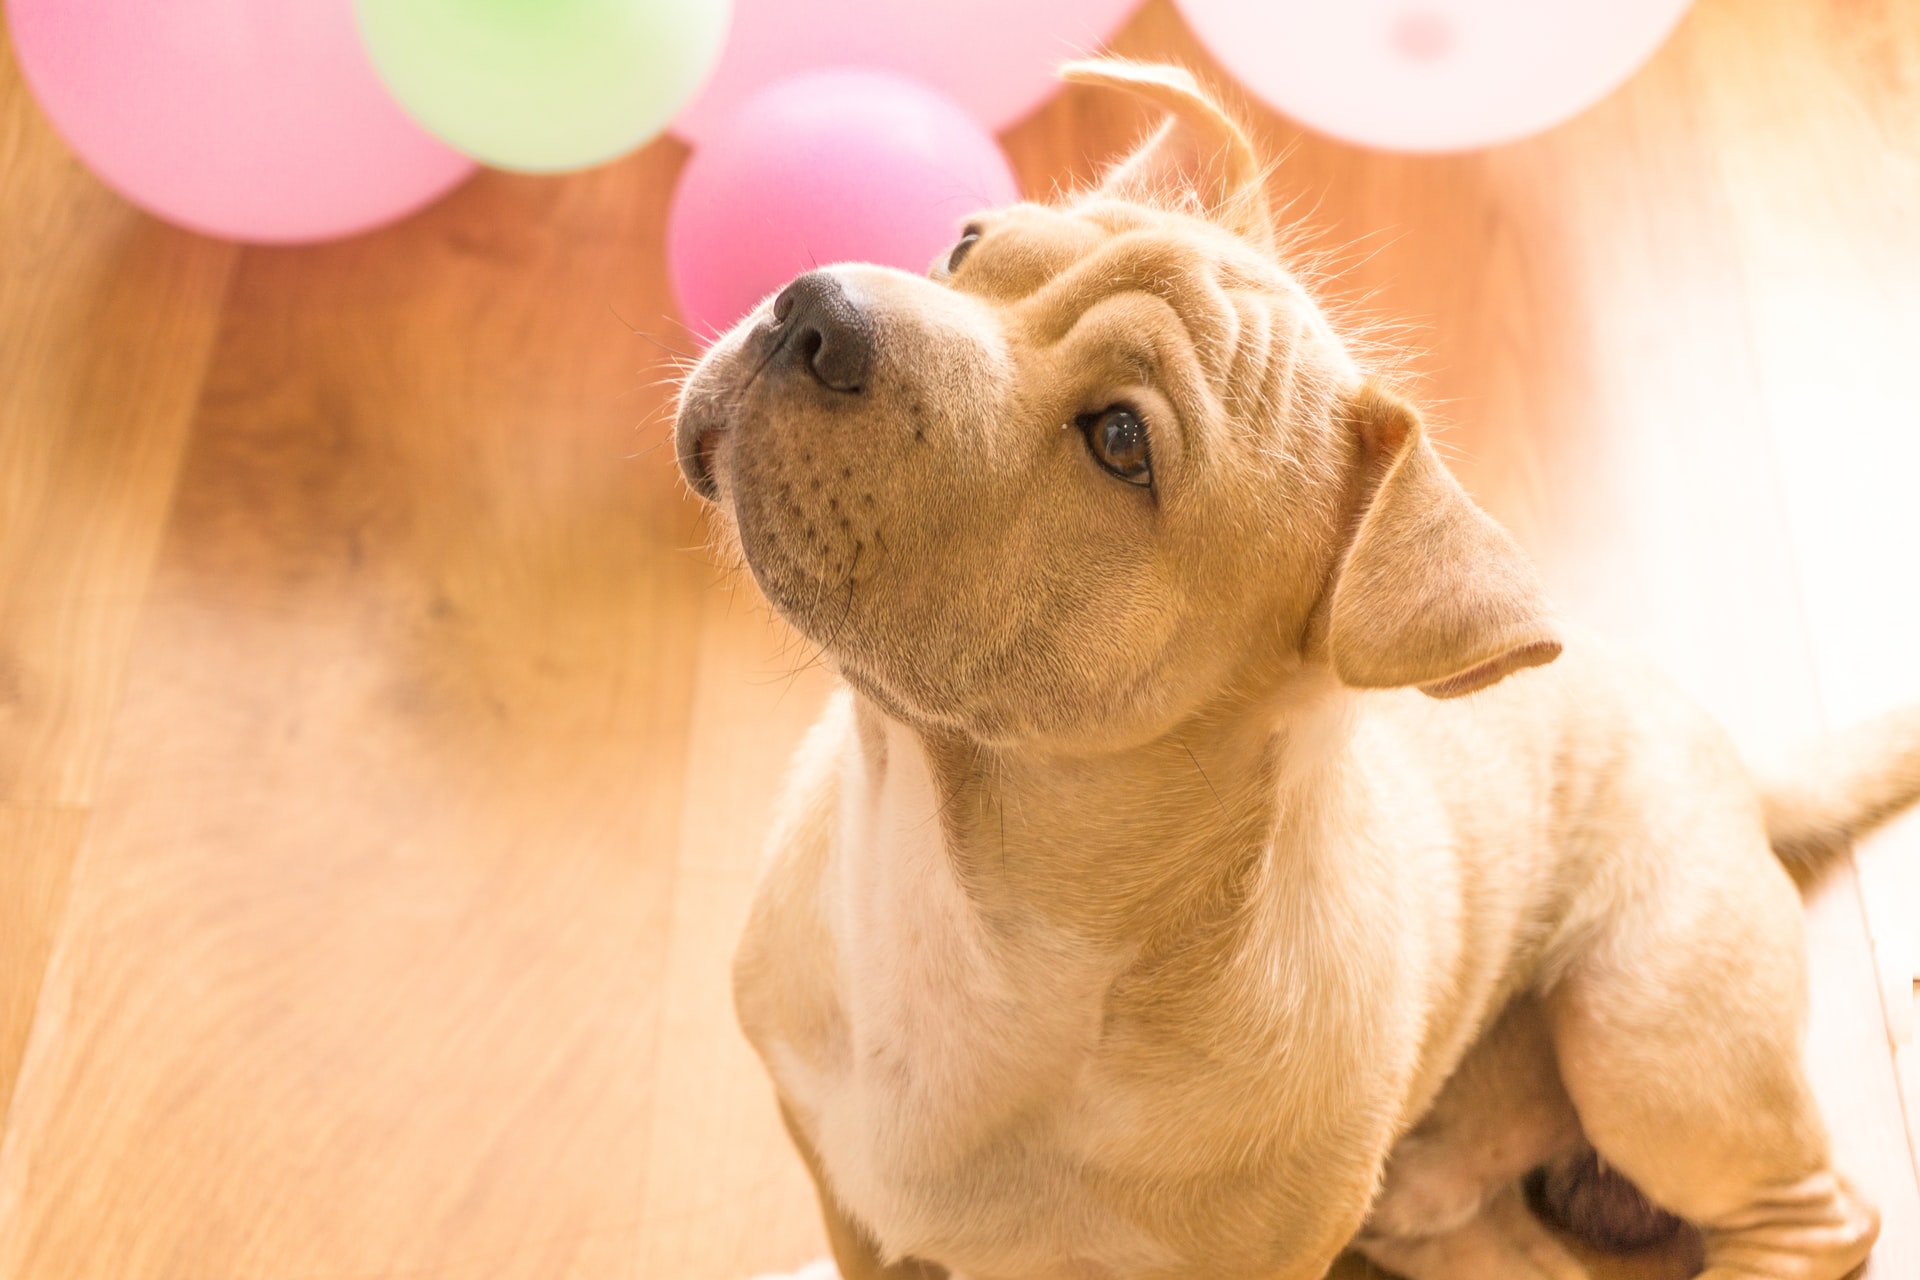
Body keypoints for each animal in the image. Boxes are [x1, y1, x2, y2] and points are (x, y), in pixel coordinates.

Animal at [672, 62, 1920, 1280]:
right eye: (968, 246)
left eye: (1121, 441)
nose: (815, 308)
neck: (961, 894)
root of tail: (1732, 756)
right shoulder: (846, 1193)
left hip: (1649, 1033)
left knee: (1818, 1212)